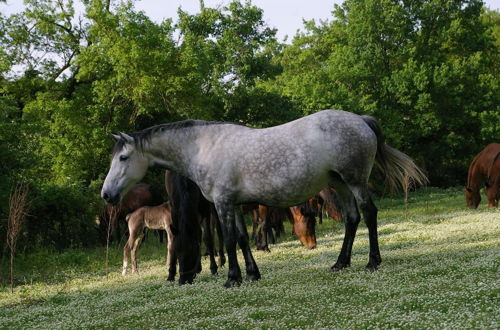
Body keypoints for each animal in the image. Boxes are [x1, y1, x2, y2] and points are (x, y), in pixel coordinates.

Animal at [100, 109, 426, 288]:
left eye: (124, 158)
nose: (107, 194)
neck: (203, 147)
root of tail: (360, 119)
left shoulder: (222, 204)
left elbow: (229, 240)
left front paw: (232, 278)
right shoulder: (234, 205)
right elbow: (244, 238)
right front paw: (252, 274)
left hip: (355, 180)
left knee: (369, 213)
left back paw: (372, 262)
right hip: (340, 183)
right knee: (352, 218)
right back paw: (340, 263)